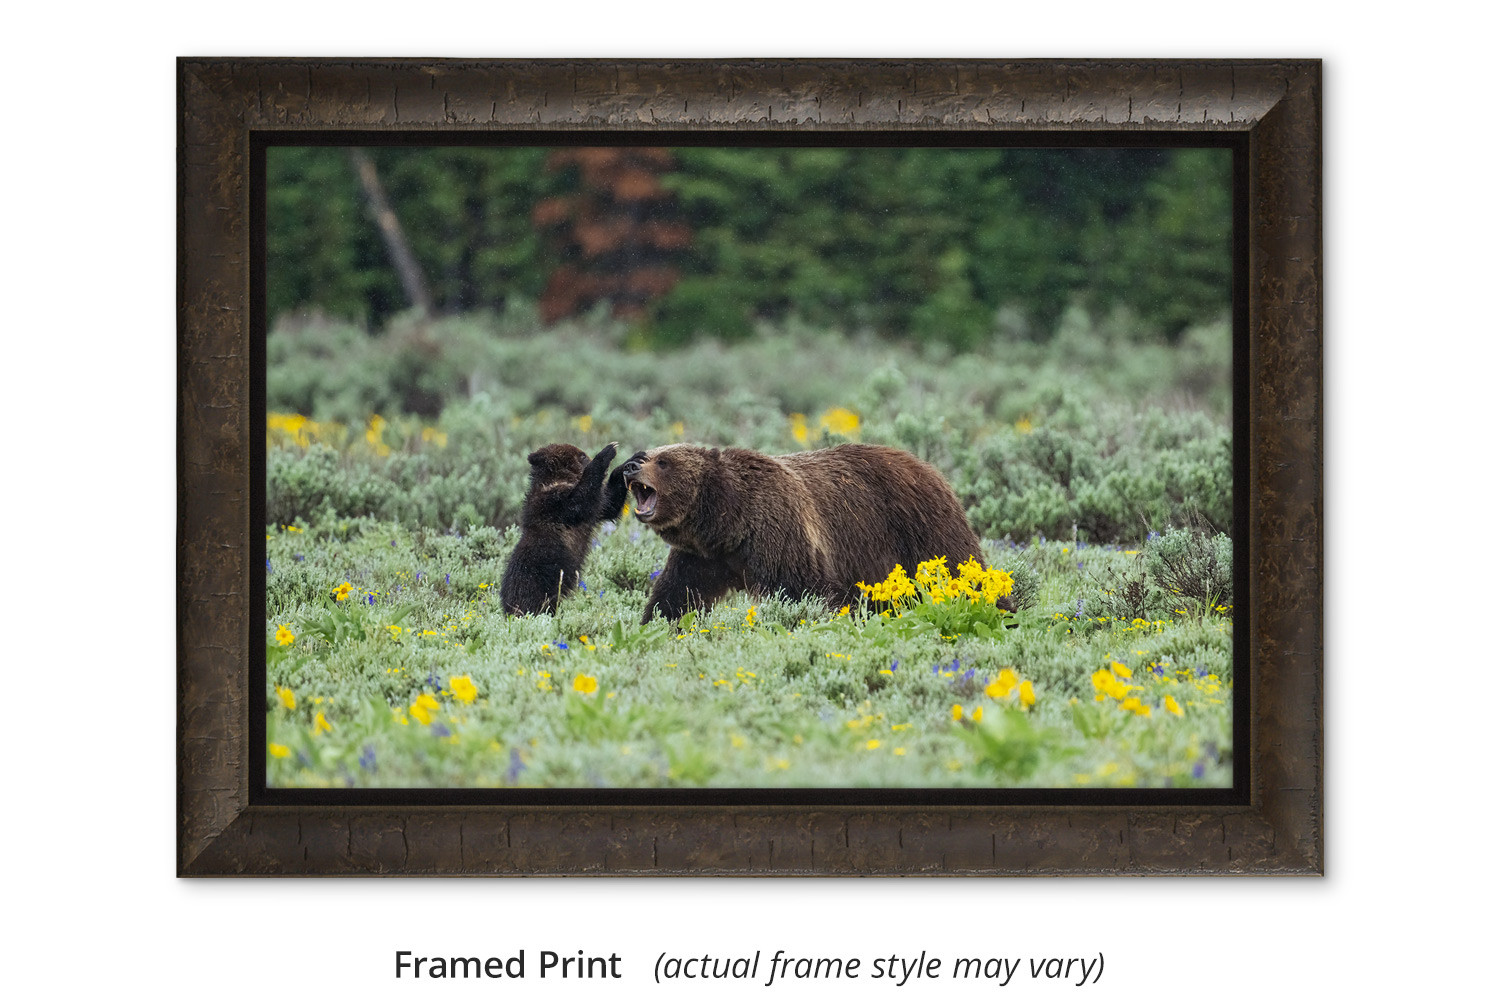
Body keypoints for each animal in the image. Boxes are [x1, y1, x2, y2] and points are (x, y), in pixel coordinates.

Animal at [499, 441, 628, 615]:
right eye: (582, 455)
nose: (587, 456)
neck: (559, 479)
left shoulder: (594, 510)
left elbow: (608, 504)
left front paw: (626, 465)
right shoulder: (552, 503)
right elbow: (579, 501)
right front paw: (607, 452)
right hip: (535, 577)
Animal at [618, 442, 999, 622]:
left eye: (663, 461)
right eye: (648, 453)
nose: (631, 465)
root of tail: (930, 467)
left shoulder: (783, 535)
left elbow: (803, 593)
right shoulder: (701, 557)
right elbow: (677, 594)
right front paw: (658, 623)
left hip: (921, 527)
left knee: (964, 568)